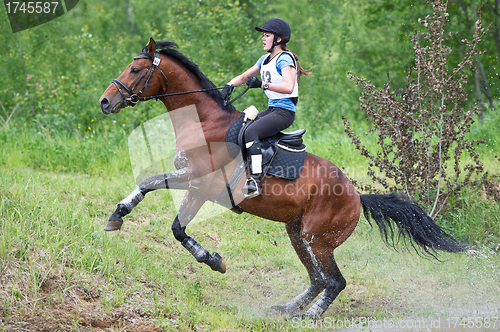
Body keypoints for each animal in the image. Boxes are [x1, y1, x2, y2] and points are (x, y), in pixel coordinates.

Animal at [98, 37, 464, 320]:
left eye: (135, 70)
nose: (104, 101)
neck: (202, 122)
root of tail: (356, 196)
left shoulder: (198, 183)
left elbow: (169, 215)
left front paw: (213, 261)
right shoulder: (193, 184)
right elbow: (155, 196)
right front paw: (118, 216)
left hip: (319, 238)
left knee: (335, 282)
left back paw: (309, 316)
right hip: (297, 233)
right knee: (318, 280)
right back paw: (287, 309)